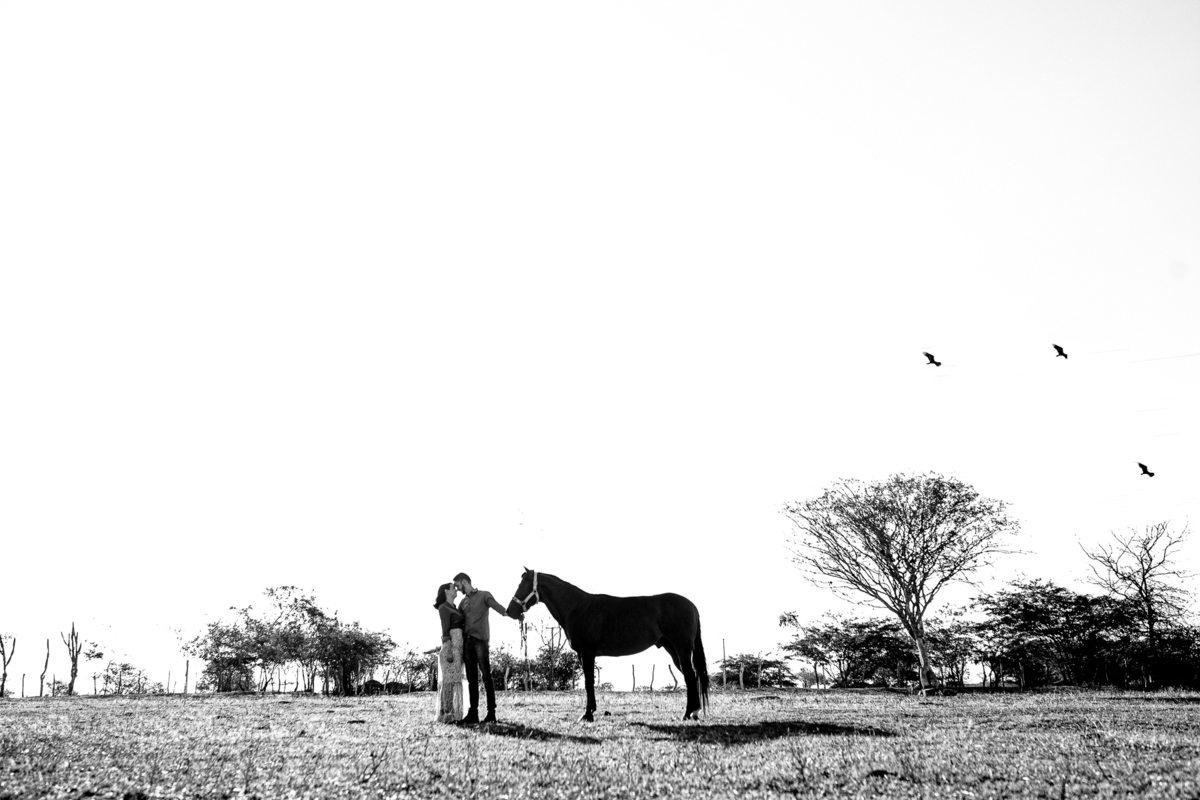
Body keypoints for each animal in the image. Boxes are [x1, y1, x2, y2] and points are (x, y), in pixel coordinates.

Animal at [506, 568, 709, 721]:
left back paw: (688, 714)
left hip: (682, 649)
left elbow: (588, 682)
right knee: (692, 677)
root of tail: (691, 605)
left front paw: (587, 714)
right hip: (673, 650)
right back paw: (693, 713)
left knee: (690, 677)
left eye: (522, 585)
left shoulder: (587, 653)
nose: (510, 611)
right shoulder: (583, 654)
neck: (578, 608)